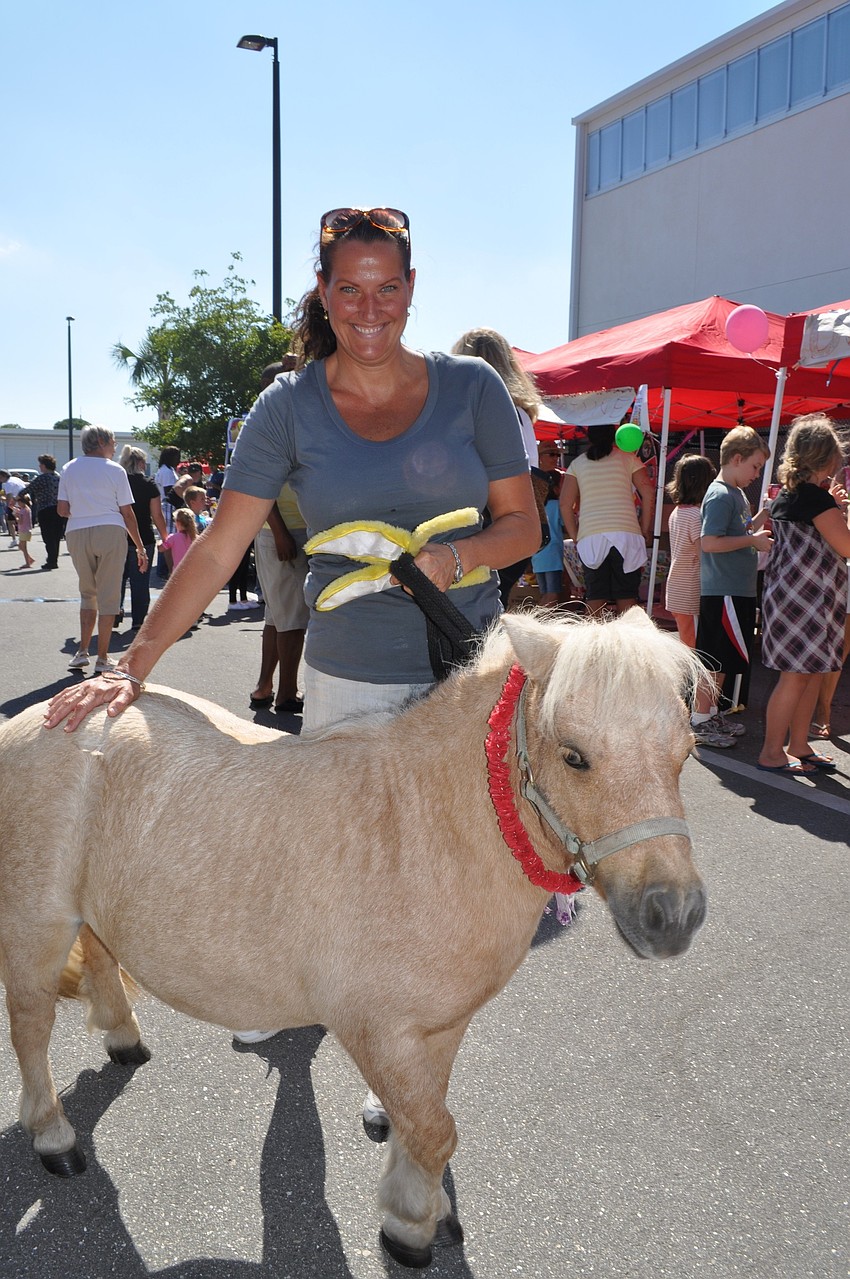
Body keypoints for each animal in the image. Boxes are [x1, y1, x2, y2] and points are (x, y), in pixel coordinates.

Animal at [0, 608, 707, 1270]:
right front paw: (411, 1230)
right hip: (36, 922)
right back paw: (54, 1137)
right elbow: (435, 1131)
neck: (422, 829)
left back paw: (123, 1039)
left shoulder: (439, 1030)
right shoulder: (377, 1032)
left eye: (685, 751)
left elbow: (423, 1124)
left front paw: (417, 1207)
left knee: (99, 953)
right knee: (31, 1021)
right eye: (574, 756)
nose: (674, 916)